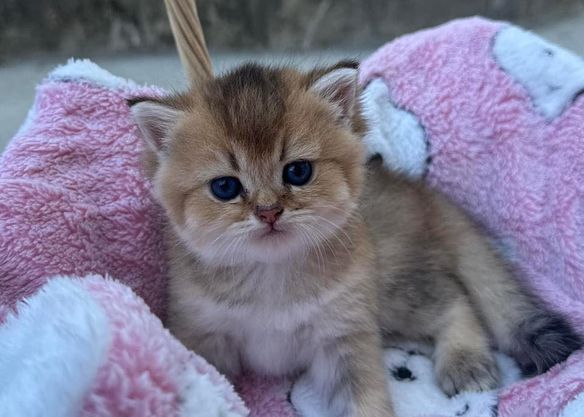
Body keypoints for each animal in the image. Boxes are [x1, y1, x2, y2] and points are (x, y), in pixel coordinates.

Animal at [130, 59, 580, 416]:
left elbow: (366, 399)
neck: (273, 277)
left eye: (298, 172)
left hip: (396, 289)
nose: (269, 212)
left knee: (455, 298)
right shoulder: (203, 338)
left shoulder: (345, 338)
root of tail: (418, 191)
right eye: (224, 187)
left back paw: (464, 360)